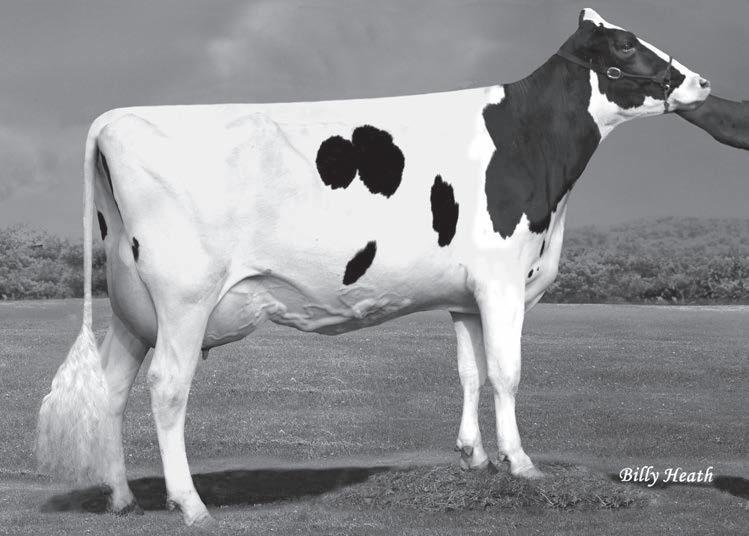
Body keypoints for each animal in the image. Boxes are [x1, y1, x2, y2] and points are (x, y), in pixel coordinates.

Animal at [37, 8, 714, 527]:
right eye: (624, 44)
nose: (702, 81)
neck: (531, 144)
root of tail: (118, 117)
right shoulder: (501, 277)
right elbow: (507, 372)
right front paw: (521, 465)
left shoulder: (466, 294)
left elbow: (470, 372)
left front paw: (475, 459)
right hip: (183, 298)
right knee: (166, 387)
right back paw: (191, 504)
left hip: (133, 303)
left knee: (112, 386)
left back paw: (121, 498)